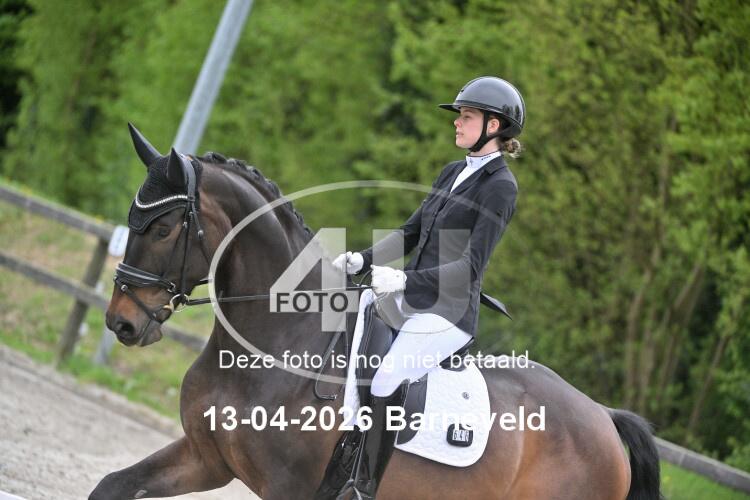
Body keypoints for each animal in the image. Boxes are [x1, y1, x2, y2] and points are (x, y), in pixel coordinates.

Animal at [90, 125, 661, 500]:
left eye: (164, 229)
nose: (122, 322)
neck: (277, 343)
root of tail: (605, 418)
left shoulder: (287, 490)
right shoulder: (206, 458)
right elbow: (110, 487)